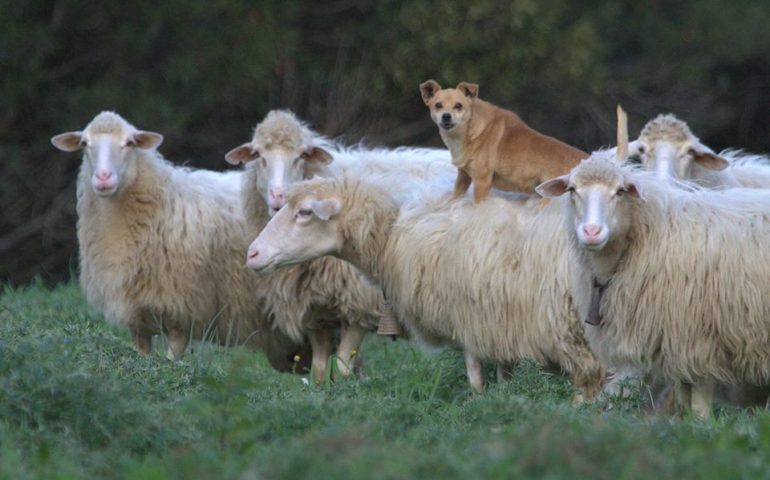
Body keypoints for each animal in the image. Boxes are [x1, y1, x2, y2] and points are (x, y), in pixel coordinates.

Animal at [243, 171, 604, 400]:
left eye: (305, 212)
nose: (252, 254)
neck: (390, 240)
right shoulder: (499, 325)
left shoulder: (469, 319)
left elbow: (476, 380)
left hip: (573, 327)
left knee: (591, 382)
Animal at [416, 79, 584, 203]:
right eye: (438, 105)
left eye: (458, 106)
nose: (446, 116)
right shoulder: (463, 177)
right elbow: (453, 199)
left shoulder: (482, 182)